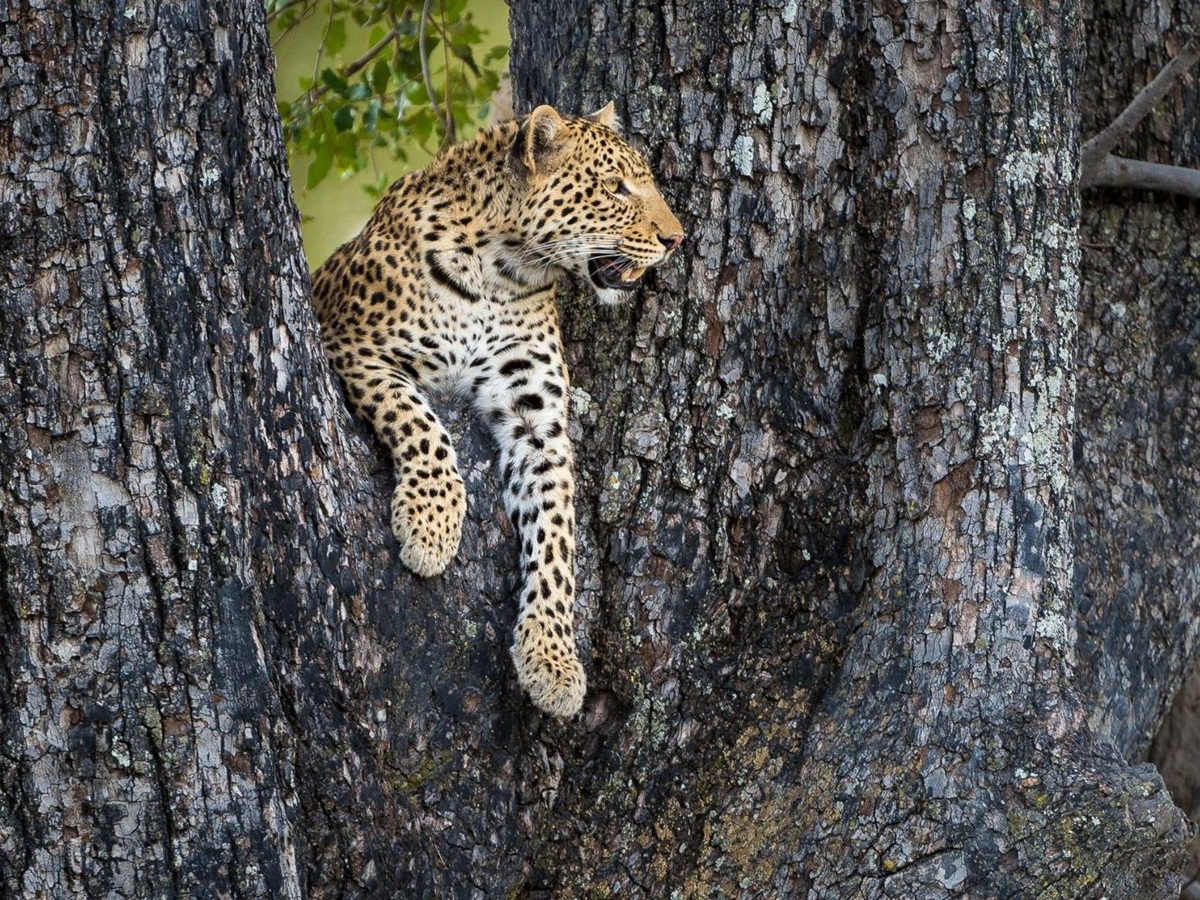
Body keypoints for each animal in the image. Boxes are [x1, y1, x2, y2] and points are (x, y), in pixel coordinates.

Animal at [312, 102, 684, 718]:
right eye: (615, 187)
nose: (676, 239)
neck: (502, 271)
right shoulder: (356, 345)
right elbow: (421, 423)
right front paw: (431, 527)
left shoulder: (538, 420)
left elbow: (556, 534)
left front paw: (551, 658)